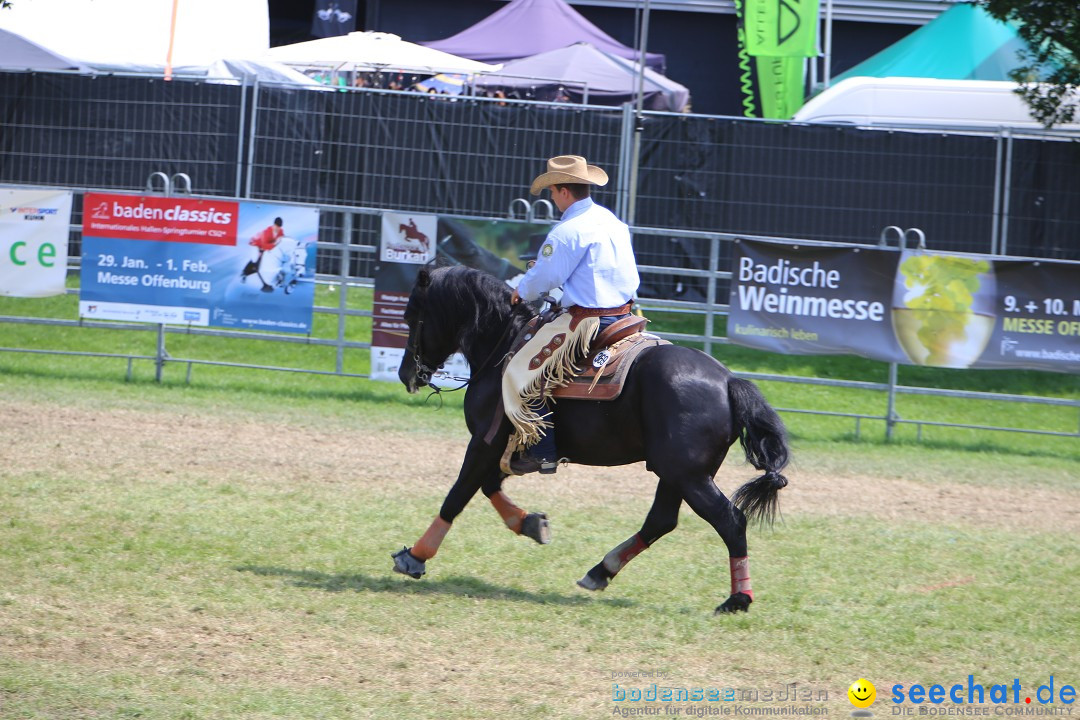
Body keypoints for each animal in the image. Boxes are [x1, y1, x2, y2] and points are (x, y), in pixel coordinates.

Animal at [393, 264, 790, 613]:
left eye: (412, 316)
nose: (406, 374)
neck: (501, 346)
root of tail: (728, 380)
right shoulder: (503, 449)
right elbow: (489, 486)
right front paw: (531, 523)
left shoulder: (484, 442)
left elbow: (458, 495)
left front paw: (415, 556)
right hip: (679, 473)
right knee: (661, 520)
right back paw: (602, 571)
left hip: (687, 475)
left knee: (729, 521)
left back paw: (737, 599)